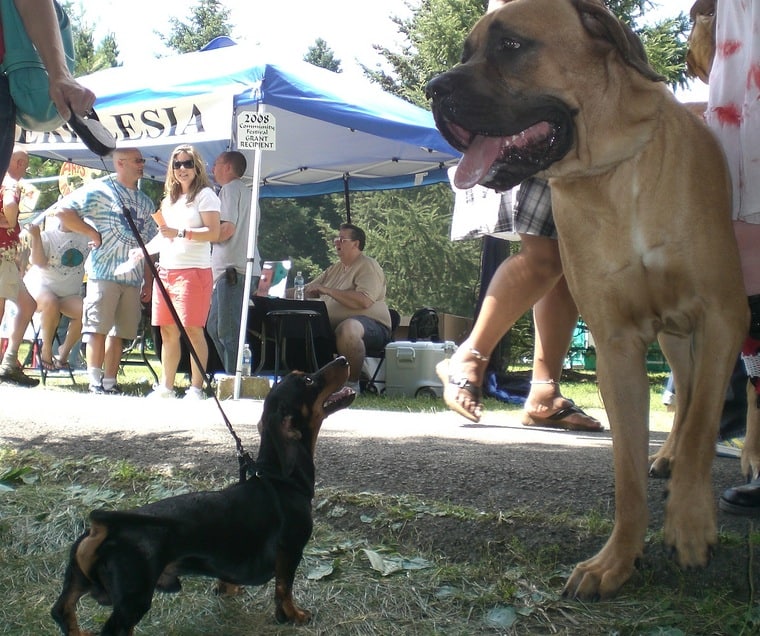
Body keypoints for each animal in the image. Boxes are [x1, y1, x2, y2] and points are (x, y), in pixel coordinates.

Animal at [52, 356, 354, 632]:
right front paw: (293, 615)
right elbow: (284, 590)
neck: (279, 479)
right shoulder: (290, 551)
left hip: (78, 582)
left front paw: (229, 589)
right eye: (308, 381)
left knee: (62, 611)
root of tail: (104, 527)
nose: (342, 359)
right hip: (132, 601)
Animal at [428, 0, 748, 600]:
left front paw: (691, 524)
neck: (615, 172)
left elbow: (701, 427)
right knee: (686, 390)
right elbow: (628, 469)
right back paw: (666, 459)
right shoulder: (618, 344)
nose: (434, 88)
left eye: (510, 46)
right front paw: (616, 560)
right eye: (465, 51)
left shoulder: (722, 316)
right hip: (674, 338)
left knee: (705, 402)